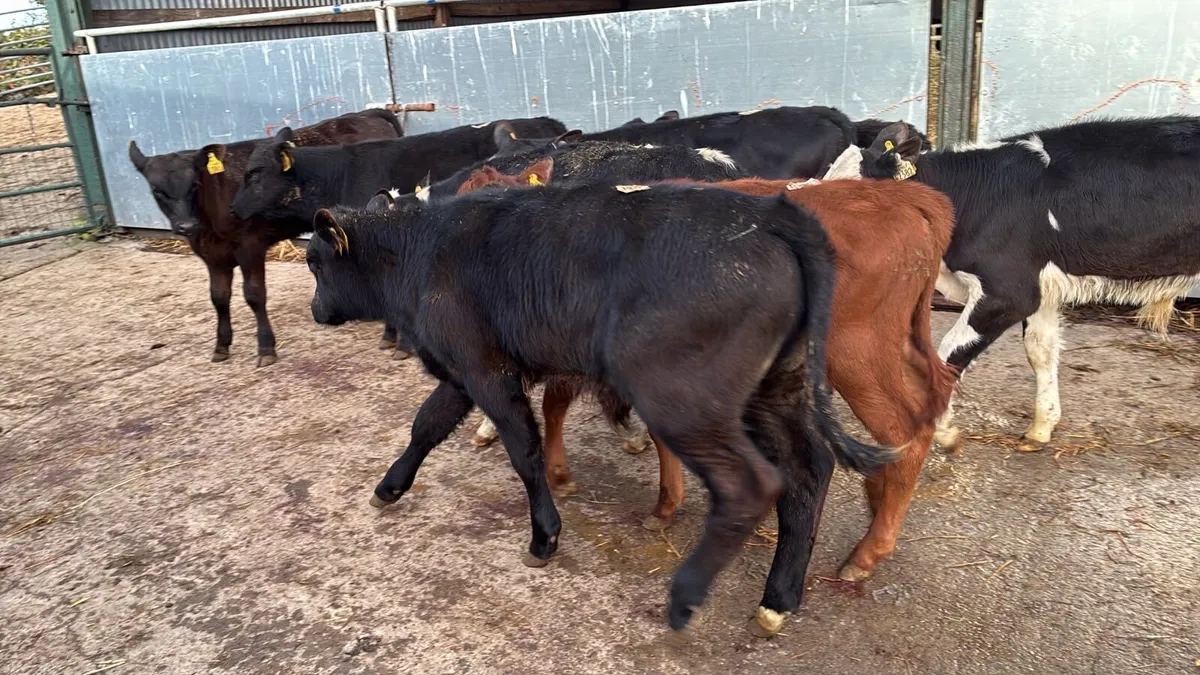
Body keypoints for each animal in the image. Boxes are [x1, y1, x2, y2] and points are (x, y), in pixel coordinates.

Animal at [128, 108, 403, 367]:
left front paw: (265, 348)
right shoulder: (212, 256)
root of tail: (363, 114)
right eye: (156, 190)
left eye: (195, 184)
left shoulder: (249, 246)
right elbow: (218, 297)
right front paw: (221, 346)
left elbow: (254, 294)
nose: (186, 225)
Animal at [301, 180, 895, 636]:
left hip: (683, 401)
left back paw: (685, 595)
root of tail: (771, 216)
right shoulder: (466, 371)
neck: (423, 251)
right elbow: (426, 425)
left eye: (315, 262)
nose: (315, 310)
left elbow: (524, 451)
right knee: (809, 470)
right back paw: (778, 598)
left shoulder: (486, 371)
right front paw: (389, 486)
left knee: (751, 485)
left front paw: (545, 536)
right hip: (776, 387)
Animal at [454, 162, 959, 585]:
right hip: (895, 345)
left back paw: (868, 551)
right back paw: (880, 493)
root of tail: (906, 197)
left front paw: (648, 498)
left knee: (905, 431)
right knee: (933, 390)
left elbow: (562, 406)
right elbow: (562, 407)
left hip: (856, 354)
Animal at [854, 117, 1200, 451]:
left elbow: (949, 352)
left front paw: (942, 431)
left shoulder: (1008, 292)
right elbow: (1040, 349)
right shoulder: (1039, 289)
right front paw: (1041, 427)